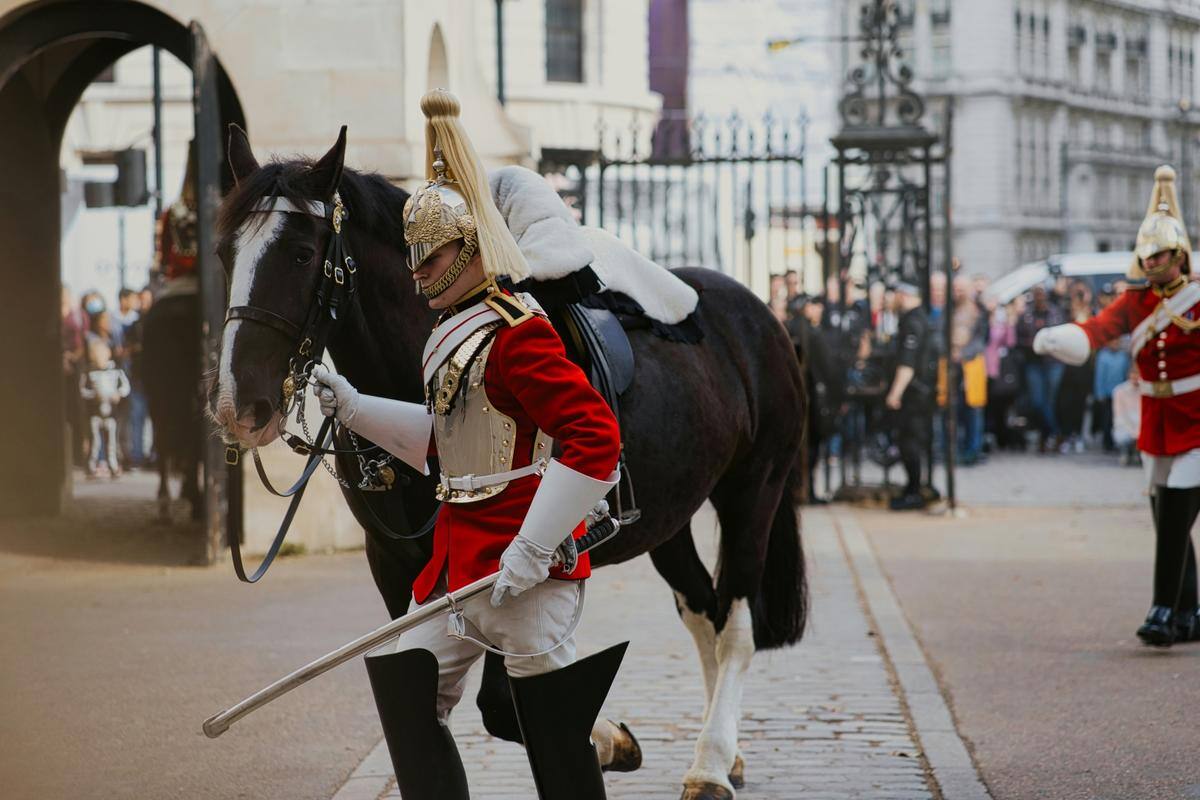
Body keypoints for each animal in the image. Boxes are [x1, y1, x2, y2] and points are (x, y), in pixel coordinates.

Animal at [211, 128, 811, 796]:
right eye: (224, 254)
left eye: (299, 253)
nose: (239, 407)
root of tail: (760, 318)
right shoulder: (397, 567)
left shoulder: (495, 573)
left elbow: (505, 703)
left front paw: (602, 737)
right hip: (669, 516)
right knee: (703, 610)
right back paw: (724, 753)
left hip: (752, 493)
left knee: (736, 622)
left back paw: (710, 762)